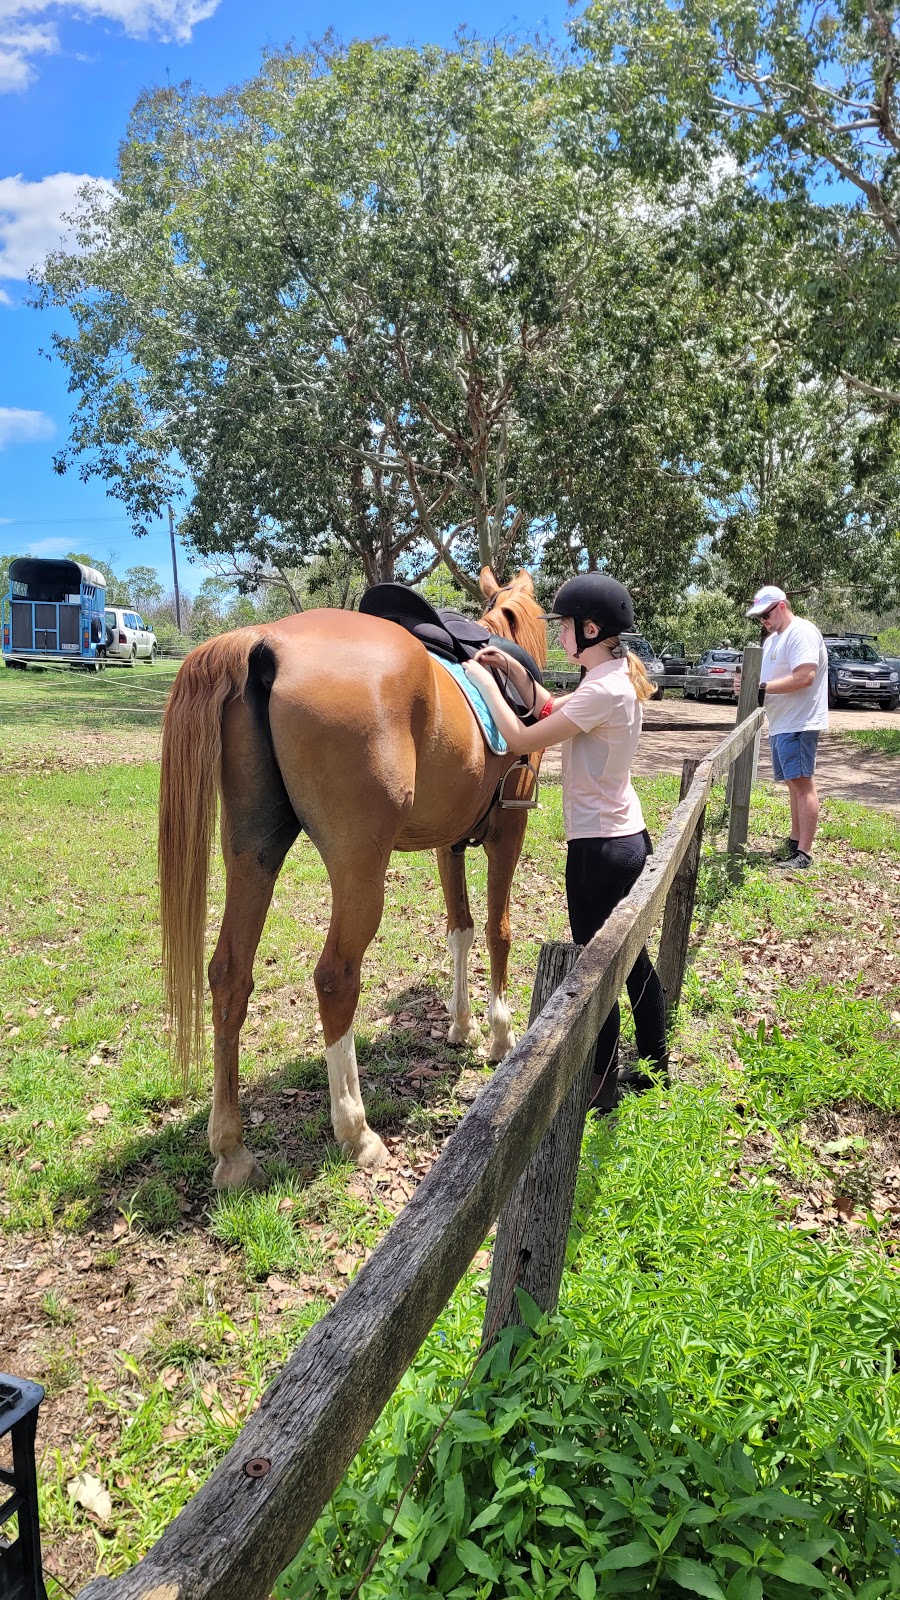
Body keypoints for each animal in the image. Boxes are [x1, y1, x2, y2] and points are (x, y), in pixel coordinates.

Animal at [158, 568, 546, 1189]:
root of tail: (265, 641)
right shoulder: (508, 832)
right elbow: (497, 931)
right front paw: (499, 1035)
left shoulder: (448, 844)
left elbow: (460, 930)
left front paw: (461, 1026)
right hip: (358, 869)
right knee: (334, 977)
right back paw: (356, 1130)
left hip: (253, 852)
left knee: (229, 976)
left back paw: (232, 1151)